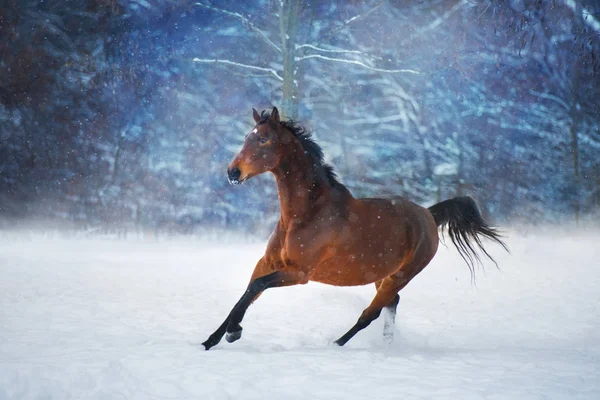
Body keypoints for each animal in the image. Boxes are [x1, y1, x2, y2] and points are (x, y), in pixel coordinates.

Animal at [202, 106, 506, 350]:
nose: (233, 173)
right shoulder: (267, 262)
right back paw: (387, 345)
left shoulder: (299, 272)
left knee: (371, 313)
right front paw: (211, 340)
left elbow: (256, 287)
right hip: (382, 274)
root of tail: (428, 215)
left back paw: (336, 344)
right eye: (247, 137)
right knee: (391, 303)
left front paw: (233, 333)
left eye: (263, 138)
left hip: (402, 275)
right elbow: (247, 293)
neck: (306, 214)